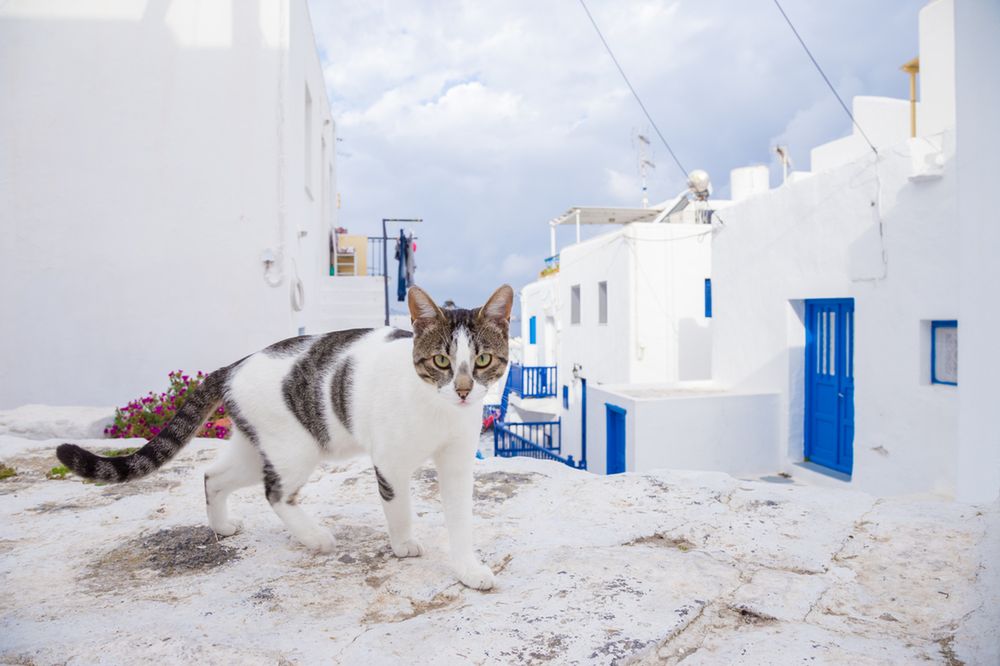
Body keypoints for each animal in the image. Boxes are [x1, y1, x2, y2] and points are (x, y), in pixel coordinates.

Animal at [55, 282, 512, 588]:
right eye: (440, 362)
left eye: (483, 360)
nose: (463, 390)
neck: (438, 411)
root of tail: (233, 366)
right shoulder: (390, 463)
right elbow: (399, 509)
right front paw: (403, 544)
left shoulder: (457, 463)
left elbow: (460, 519)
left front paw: (468, 569)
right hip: (296, 450)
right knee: (273, 492)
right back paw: (315, 537)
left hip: (256, 447)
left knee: (212, 476)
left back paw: (222, 526)